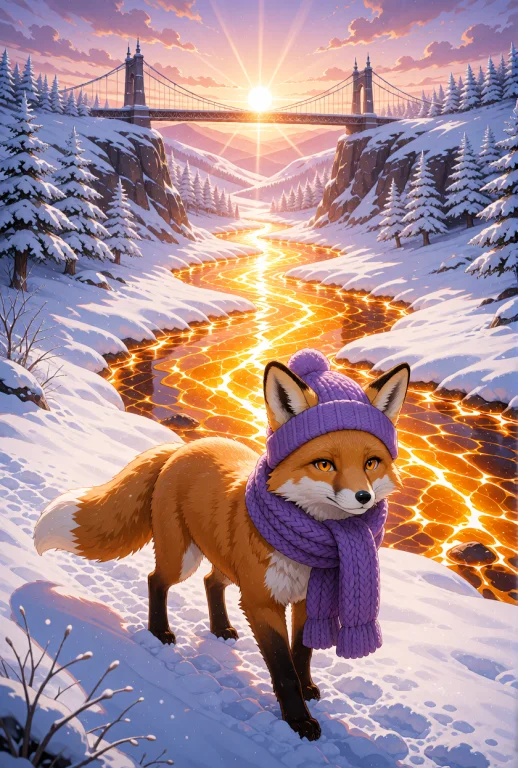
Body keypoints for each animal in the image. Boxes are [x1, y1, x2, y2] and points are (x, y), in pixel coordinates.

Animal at [34, 350, 410, 741]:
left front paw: (307, 690)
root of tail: (182, 447)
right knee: (156, 580)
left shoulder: (309, 597)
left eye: (371, 463)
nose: (364, 497)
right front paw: (298, 721)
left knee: (210, 582)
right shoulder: (262, 602)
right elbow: (284, 670)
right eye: (324, 464)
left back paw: (219, 628)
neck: (309, 549)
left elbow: (302, 654)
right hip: (183, 559)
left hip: (227, 565)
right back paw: (160, 631)